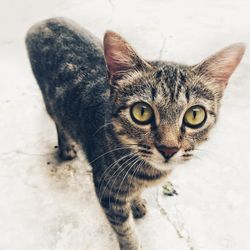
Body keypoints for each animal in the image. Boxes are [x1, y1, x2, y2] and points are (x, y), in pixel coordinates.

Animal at [25, 18, 246, 250]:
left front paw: (137, 201)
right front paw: (132, 240)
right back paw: (66, 146)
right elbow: (125, 231)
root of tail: (46, 21)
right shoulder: (107, 192)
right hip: (51, 103)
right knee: (59, 121)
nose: (169, 149)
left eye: (195, 115)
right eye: (141, 112)